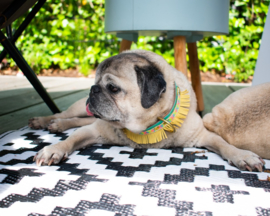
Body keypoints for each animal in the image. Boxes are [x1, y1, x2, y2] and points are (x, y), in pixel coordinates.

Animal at [29, 49, 266, 171]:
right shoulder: (93, 131)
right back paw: (47, 121)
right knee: (65, 115)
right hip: (81, 107)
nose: (93, 89)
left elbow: (223, 144)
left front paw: (242, 155)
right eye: (95, 82)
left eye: (113, 88)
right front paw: (53, 149)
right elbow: (71, 139)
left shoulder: (202, 135)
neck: (147, 128)